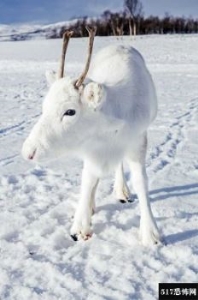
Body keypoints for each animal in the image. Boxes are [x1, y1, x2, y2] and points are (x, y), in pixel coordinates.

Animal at [22, 28, 161, 245]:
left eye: (70, 111)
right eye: (44, 106)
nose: (28, 152)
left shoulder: (137, 140)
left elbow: (141, 182)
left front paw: (150, 233)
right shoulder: (90, 148)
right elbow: (88, 180)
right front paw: (80, 225)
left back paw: (121, 191)